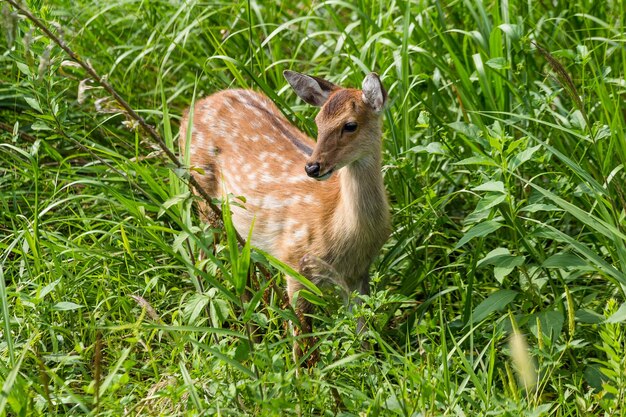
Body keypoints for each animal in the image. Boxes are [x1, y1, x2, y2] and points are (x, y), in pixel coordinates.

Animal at [178, 70, 388, 360]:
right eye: (318, 122)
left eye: (350, 125)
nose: (312, 167)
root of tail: (190, 110)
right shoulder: (294, 263)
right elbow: (303, 342)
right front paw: (305, 372)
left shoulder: (358, 273)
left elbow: (364, 333)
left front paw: (370, 365)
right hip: (204, 198)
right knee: (205, 259)